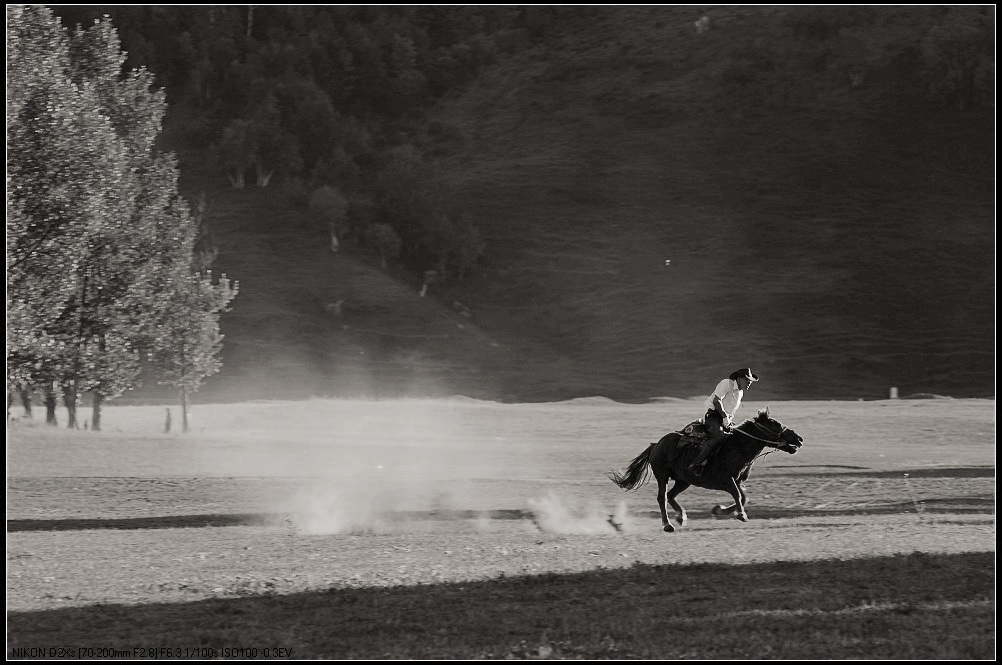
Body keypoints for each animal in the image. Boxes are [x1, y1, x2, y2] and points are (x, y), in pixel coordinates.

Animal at [605, 408, 801, 532]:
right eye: (775, 424)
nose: (799, 438)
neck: (736, 448)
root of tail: (656, 445)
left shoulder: (737, 481)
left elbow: (743, 497)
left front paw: (720, 510)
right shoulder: (726, 480)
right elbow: (738, 495)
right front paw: (741, 515)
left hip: (683, 480)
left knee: (670, 495)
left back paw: (681, 517)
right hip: (662, 475)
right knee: (662, 498)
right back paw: (668, 525)